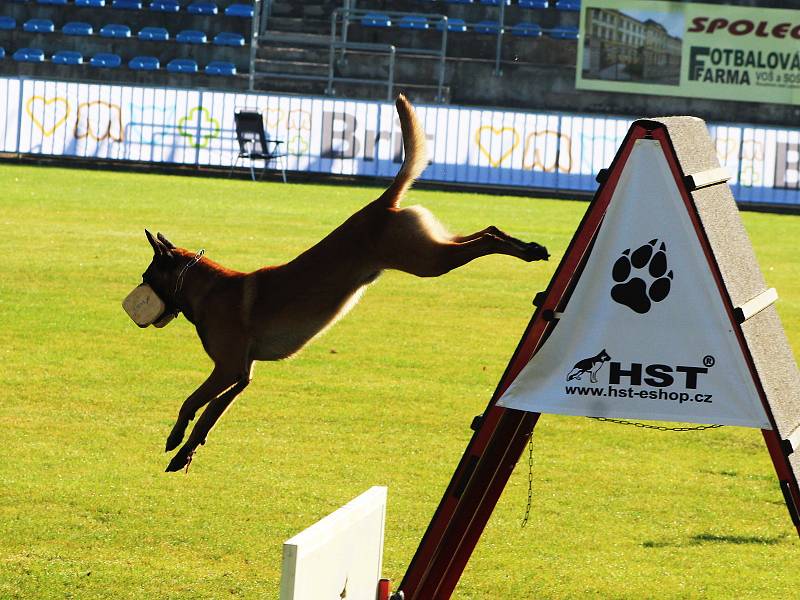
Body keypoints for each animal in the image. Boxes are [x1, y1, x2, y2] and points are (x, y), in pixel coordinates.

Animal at [138, 94, 552, 472]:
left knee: (487, 239)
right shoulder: (242, 375)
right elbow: (210, 416)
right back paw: (530, 247)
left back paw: (528, 251)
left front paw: (176, 437)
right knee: (486, 231)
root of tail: (380, 205)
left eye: (146, 276)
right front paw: (185, 452)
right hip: (432, 249)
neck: (206, 288)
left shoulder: (225, 369)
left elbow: (192, 402)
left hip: (427, 261)